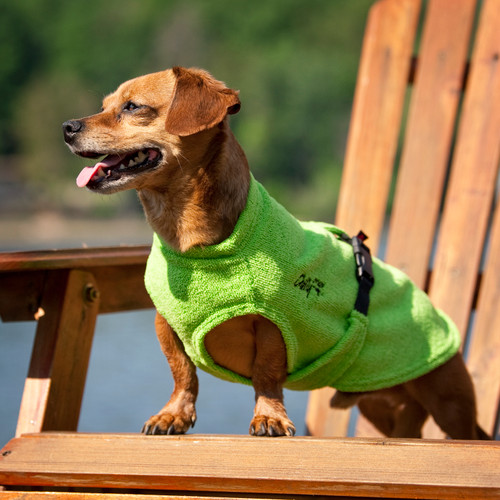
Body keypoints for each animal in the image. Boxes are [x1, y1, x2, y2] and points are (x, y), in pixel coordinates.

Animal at [62, 66, 488, 438]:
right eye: (104, 105)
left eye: (133, 107)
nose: (67, 127)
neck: (197, 250)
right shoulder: (165, 323)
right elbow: (182, 372)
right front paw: (174, 414)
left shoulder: (274, 326)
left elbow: (266, 374)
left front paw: (269, 417)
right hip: (382, 405)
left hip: (449, 402)